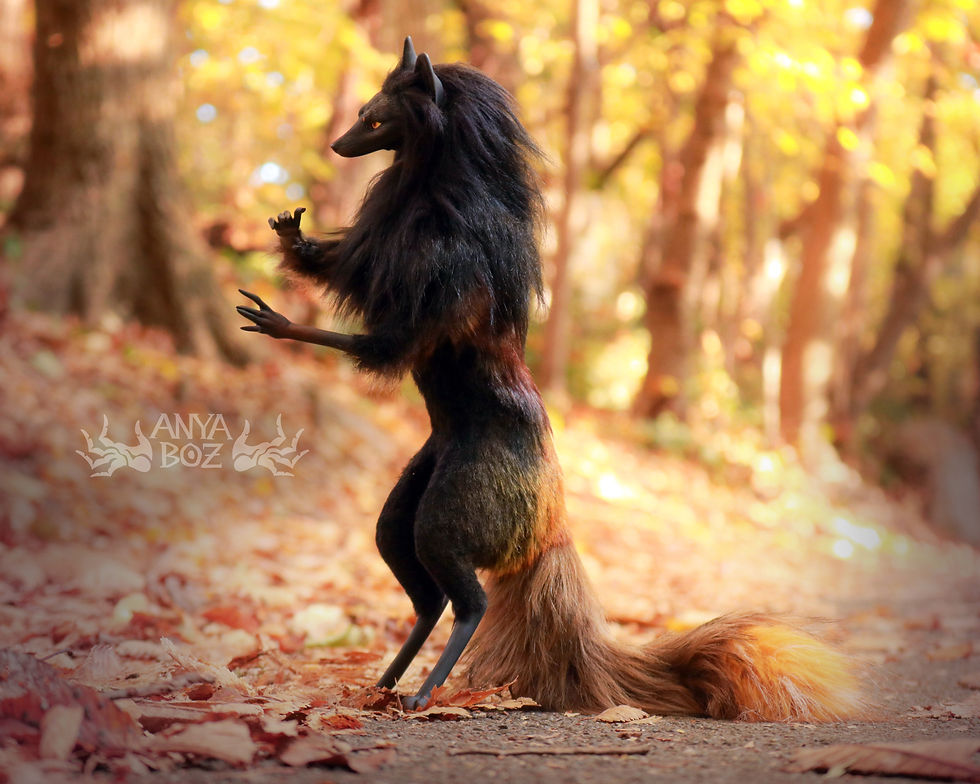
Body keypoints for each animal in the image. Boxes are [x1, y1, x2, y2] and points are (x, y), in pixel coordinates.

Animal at [237, 36, 866, 719]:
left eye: (376, 121)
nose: (337, 145)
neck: (430, 189)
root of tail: (548, 527)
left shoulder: (442, 277)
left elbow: (384, 345)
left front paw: (280, 322)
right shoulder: (376, 248)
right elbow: (343, 266)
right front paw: (293, 236)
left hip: (455, 508)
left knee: (468, 600)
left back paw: (424, 691)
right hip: (414, 490)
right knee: (418, 580)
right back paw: (385, 685)